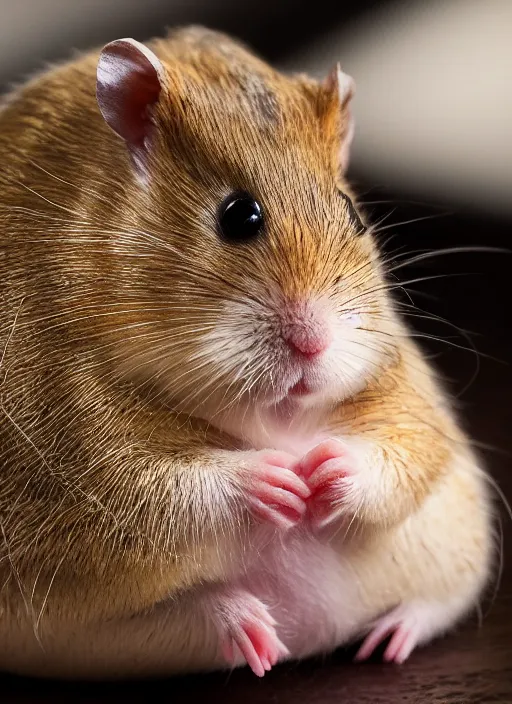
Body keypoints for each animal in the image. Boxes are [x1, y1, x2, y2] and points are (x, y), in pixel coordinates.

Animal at [0, 28, 494, 680]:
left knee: (438, 601)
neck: (274, 415)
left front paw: (325, 471)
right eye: (237, 216)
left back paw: (388, 636)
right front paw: (277, 480)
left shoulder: (404, 394)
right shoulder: (79, 449)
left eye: (354, 215)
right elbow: (164, 488)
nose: (314, 345)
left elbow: (404, 453)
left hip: (459, 532)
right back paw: (250, 629)